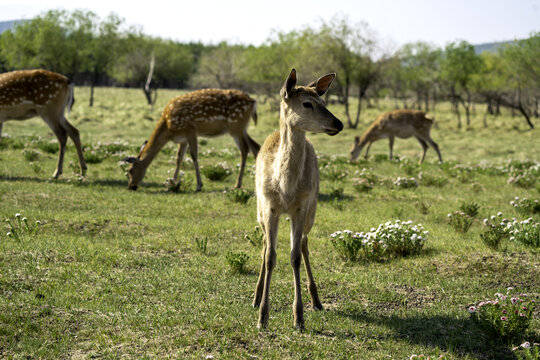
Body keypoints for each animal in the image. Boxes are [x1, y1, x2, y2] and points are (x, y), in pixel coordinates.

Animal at [122, 88, 260, 190]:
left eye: (130, 170)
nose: (130, 186)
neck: (168, 127)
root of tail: (253, 102)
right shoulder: (182, 138)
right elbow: (179, 158)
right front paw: (173, 182)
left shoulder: (191, 130)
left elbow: (194, 155)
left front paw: (199, 185)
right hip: (242, 128)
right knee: (255, 147)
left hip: (236, 125)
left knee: (245, 149)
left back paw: (237, 184)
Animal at [252, 68, 342, 330]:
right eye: (307, 103)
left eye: (323, 100)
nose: (338, 123)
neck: (285, 188)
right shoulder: (270, 207)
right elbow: (270, 256)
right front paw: (262, 317)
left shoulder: (301, 207)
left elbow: (294, 257)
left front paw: (299, 318)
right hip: (258, 211)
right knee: (264, 244)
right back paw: (256, 296)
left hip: (312, 211)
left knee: (303, 244)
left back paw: (317, 300)